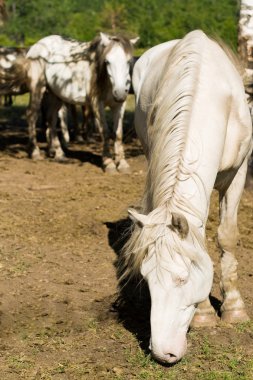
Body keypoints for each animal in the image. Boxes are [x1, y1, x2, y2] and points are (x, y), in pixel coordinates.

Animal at [0, 33, 138, 173]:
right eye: (107, 62)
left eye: (128, 62)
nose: (119, 92)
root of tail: (35, 47)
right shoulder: (96, 103)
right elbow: (105, 131)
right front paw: (108, 163)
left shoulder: (119, 105)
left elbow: (118, 133)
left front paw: (122, 164)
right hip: (37, 88)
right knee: (32, 115)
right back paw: (35, 152)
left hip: (55, 95)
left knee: (51, 119)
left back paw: (59, 153)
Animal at [121, 30, 252, 366]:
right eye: (147, 281)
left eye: (182, 279)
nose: (162, 352)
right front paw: (205, 315)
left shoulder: (238, 174)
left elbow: (226, 236)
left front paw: (234, 308)